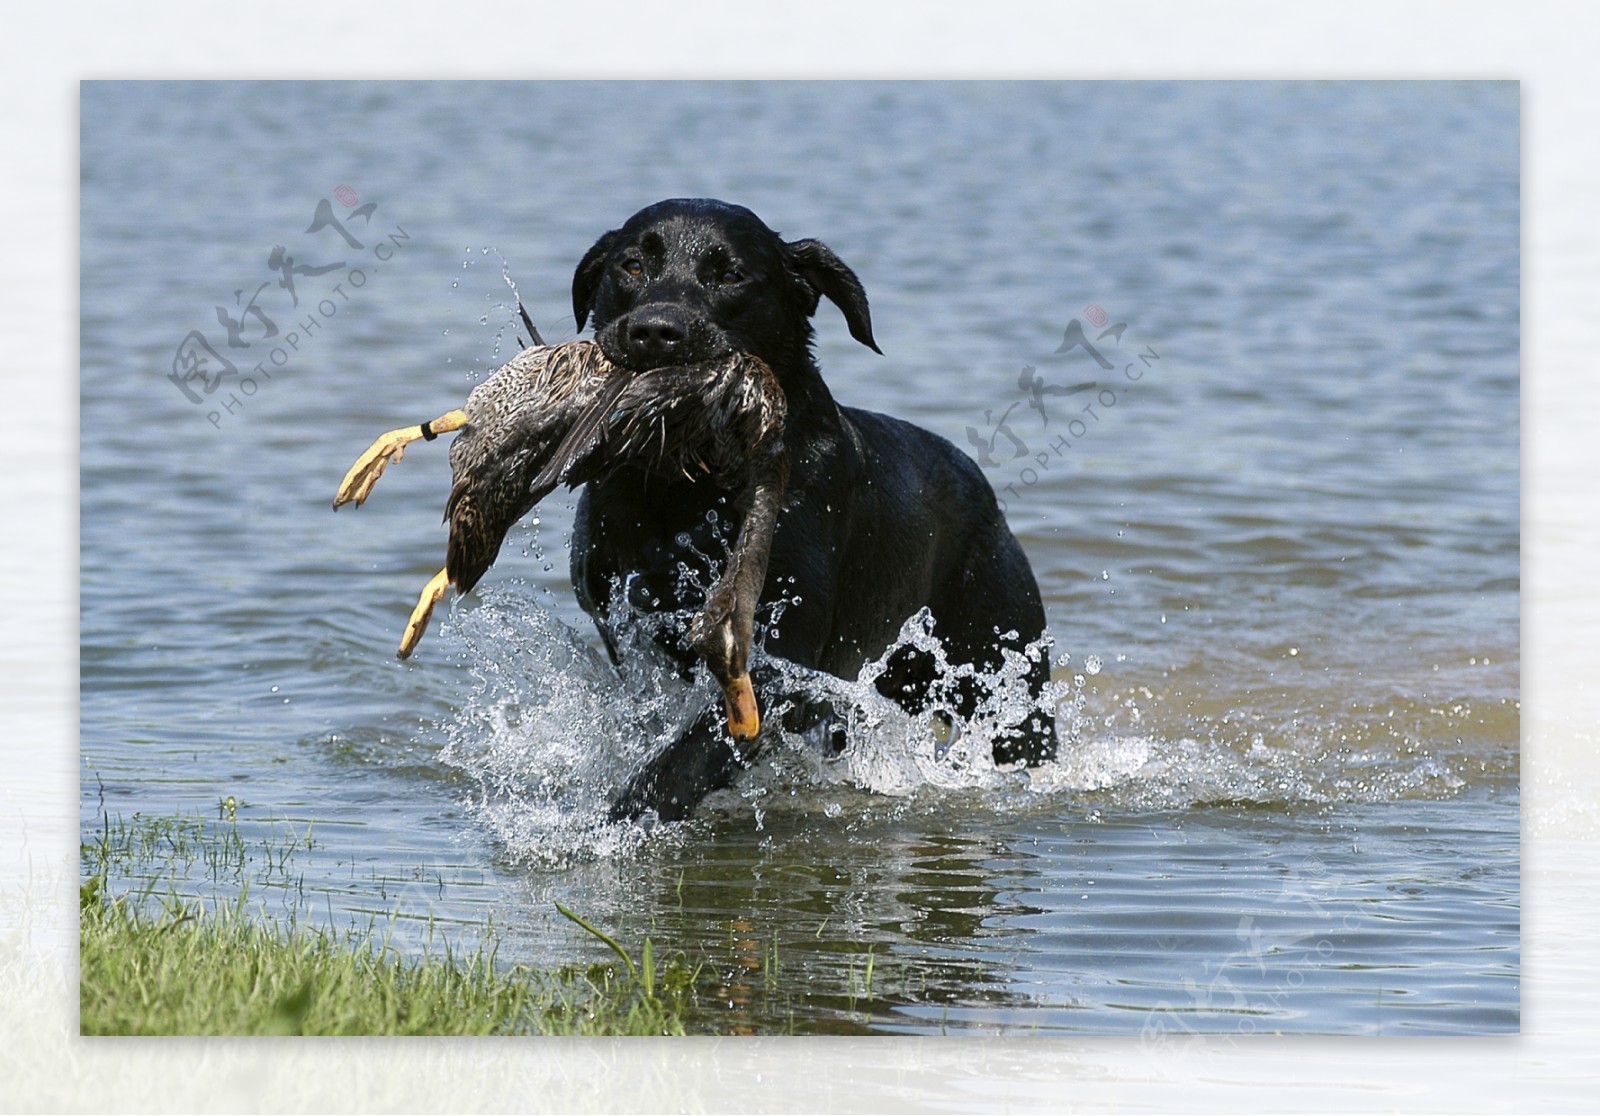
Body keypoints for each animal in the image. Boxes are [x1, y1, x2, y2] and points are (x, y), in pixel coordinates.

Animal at [569, 197, 1056, 818]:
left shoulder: (785, 651)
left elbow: (701, 747)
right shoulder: (626, 631)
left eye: (731, 275)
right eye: (631, 265)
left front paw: (627, 812)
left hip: (1004, 668)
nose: (657, 330)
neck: (688, 491)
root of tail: (983, 491)